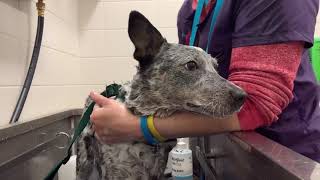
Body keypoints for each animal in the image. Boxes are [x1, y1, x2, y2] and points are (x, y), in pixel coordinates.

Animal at [76, 10, 246, 180]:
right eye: (191, 65)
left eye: (216, 67)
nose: (243, 95)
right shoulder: (114, 171)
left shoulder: (157, 170)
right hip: (84, 162)